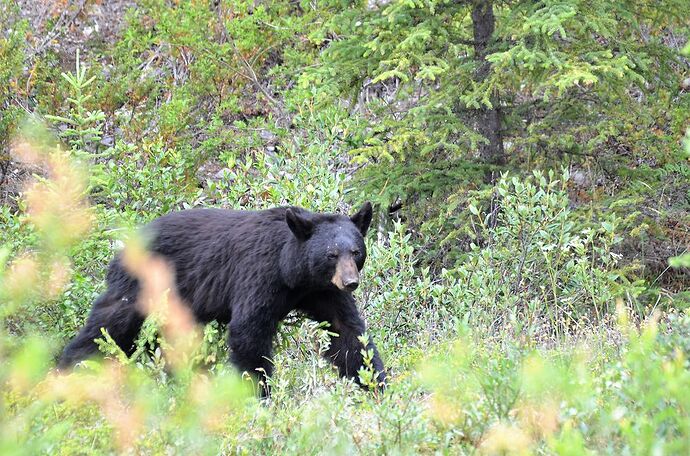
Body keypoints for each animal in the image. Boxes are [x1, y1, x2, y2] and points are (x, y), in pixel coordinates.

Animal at [56, 201, 384, 394]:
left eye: (356, 252)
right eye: (331, 254)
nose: (350, 282)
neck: (292, 272)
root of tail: (125, 245)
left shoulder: (322, 291)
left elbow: (347, 332)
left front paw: (375, 384)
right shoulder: (258, 275)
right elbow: (249, 331)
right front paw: (258, 393)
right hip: (143, 285)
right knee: (109, 325)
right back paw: (68, 370)